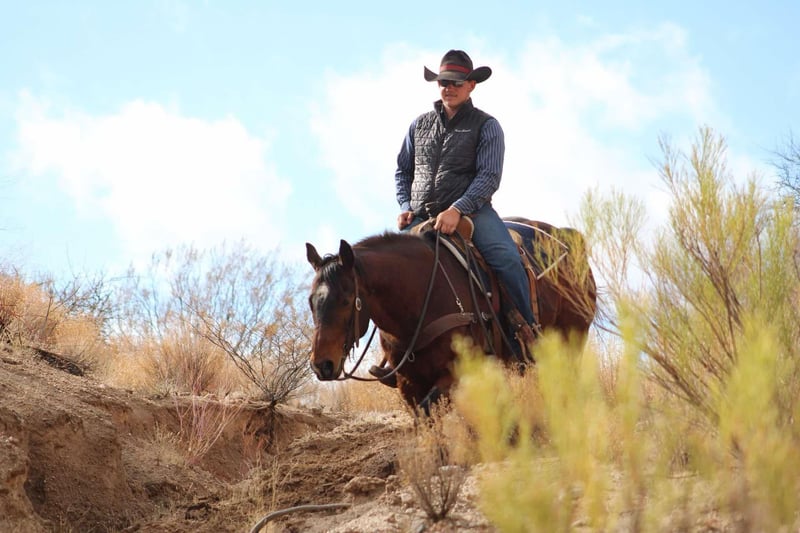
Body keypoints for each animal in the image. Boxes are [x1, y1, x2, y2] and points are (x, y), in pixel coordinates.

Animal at [305, 217, 597, 413]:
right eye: (310, 302)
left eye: (346, 301)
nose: (322, 365)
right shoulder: (407, 382)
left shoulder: (455, 373)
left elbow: (430, 409)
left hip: (572, 338)